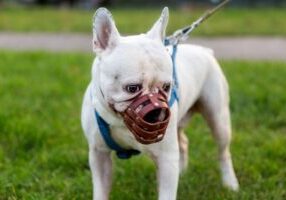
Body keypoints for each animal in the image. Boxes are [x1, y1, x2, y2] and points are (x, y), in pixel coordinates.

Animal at [81, 7, 239, 200]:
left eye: (167, 86)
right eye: (132, 88)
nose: (157, 112)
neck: (120, 122)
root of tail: (204, 50)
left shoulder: (166, 160)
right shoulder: (99, 155)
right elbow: (100, 190)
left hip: (218, 119)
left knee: (223, 151)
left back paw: (230, 183)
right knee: (183, 142)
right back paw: (183, 172)